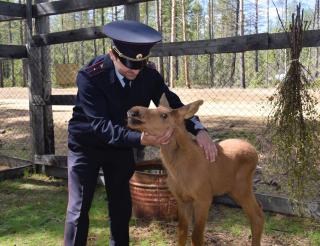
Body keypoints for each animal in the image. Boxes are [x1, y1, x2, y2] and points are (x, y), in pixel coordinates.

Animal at [127, 95, 264, 245]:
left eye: (164, 115)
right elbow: (182, 231)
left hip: (241, 188)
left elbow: (197, 236)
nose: (134, 111)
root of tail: (255, 152)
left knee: (257, 216)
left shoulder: (204, 198)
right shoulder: (182, 199)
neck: (178, 170)